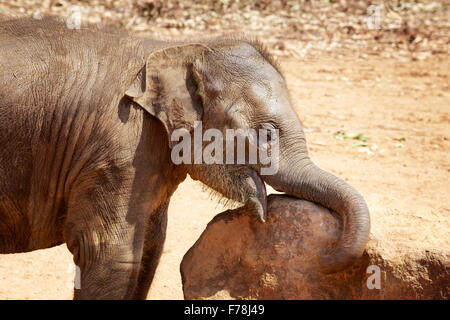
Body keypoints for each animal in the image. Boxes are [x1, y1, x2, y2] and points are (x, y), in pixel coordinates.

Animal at [0, 16, 370, 298]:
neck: (178, 49)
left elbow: (150, 247)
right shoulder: (118, 147)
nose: (325, 256)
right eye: (266, 132)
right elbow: (109, 254)